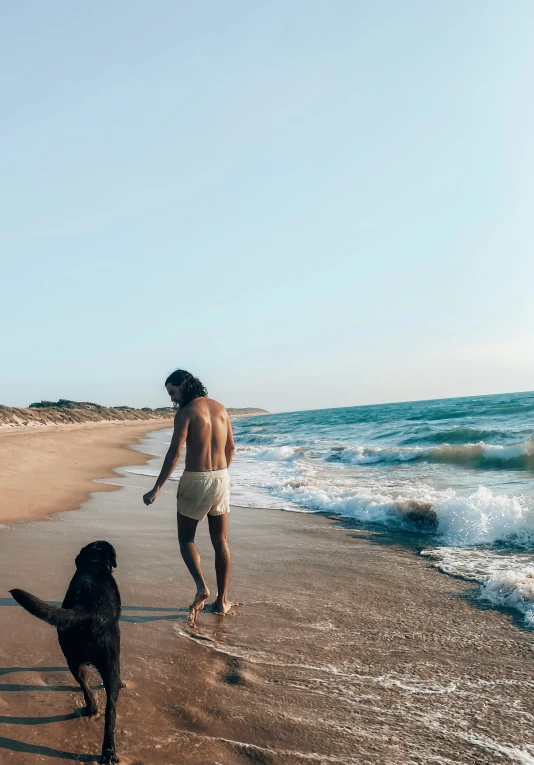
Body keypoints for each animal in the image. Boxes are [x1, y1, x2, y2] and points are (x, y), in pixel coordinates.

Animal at [11, 540, 122, 760]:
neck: (92, 564)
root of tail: (85, 609)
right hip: (111, 663)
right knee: (110, 711)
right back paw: (108, 751)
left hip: (72, 658)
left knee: (85, 686)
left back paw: (91, 709)